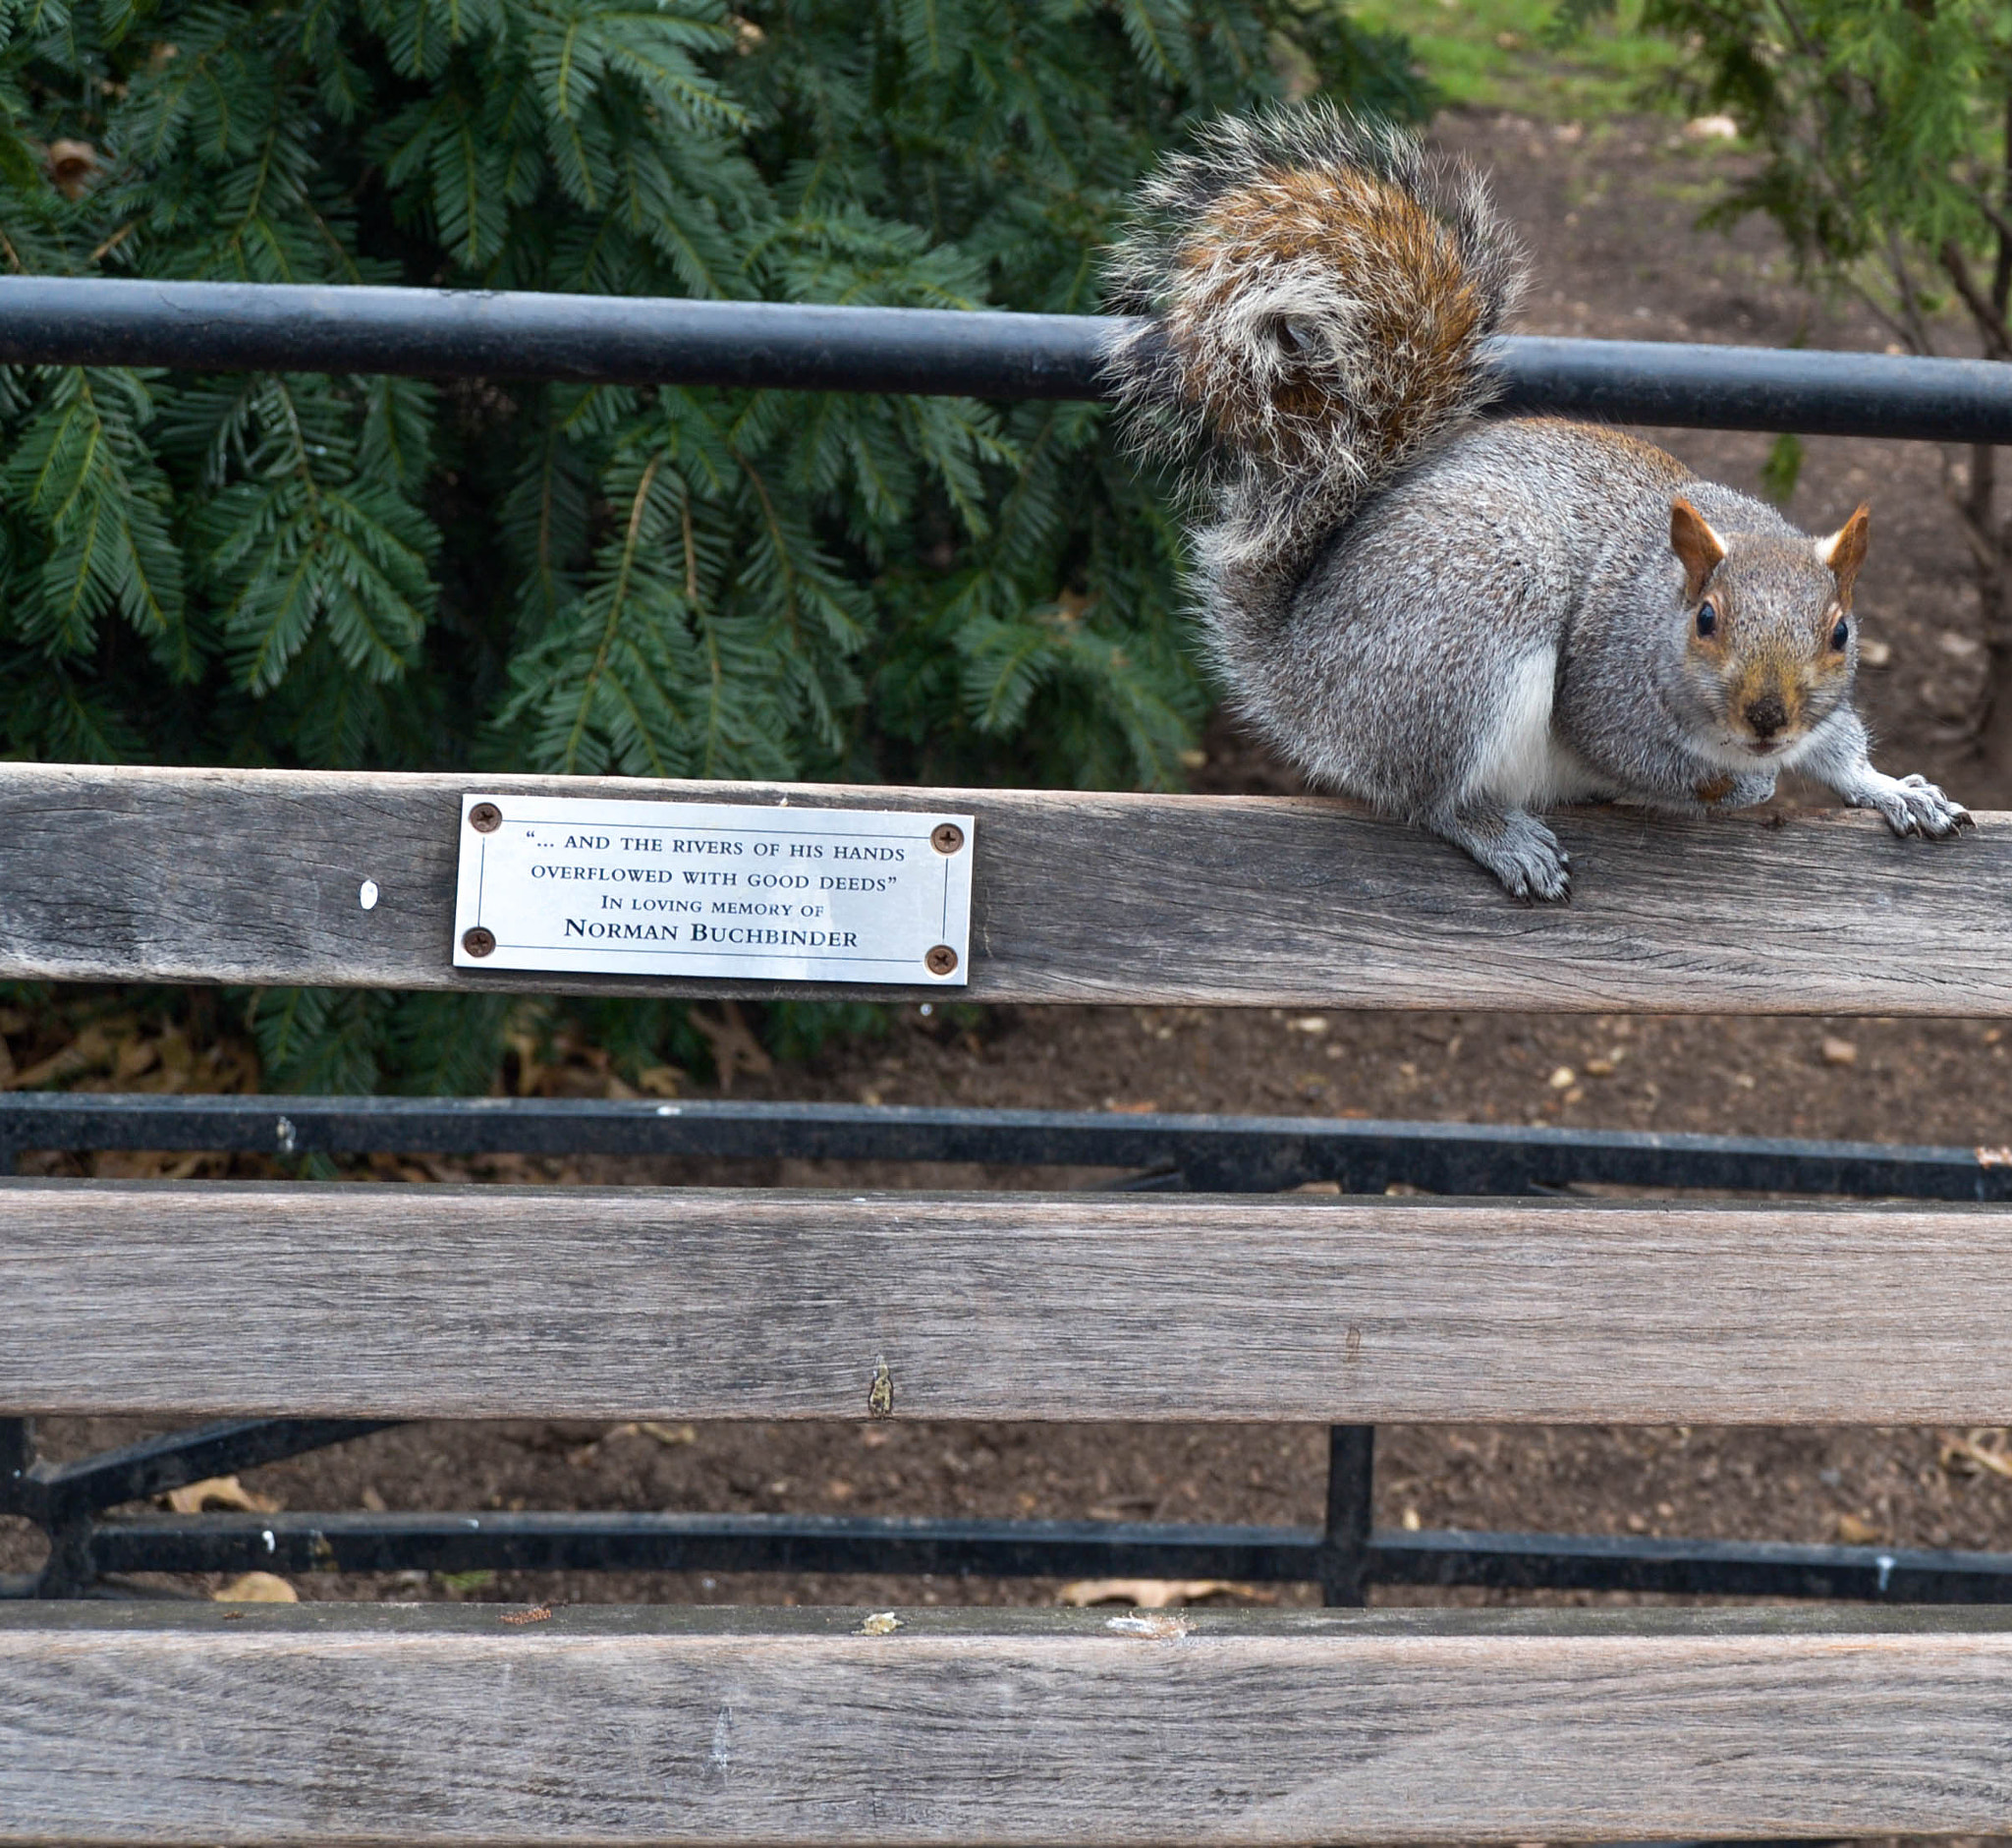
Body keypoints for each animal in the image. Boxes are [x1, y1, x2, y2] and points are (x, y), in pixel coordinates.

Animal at [1102, 105, 1973, 900]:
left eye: (1841, 632)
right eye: (1706, 619)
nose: (1768, 718)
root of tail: (1302, 666)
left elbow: (1837, 746)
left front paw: (1895, 790)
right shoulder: (1607, 686)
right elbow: (1628, 749)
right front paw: (1747, 786)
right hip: (1470, 631)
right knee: (1432, 795)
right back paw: (1502, 835)